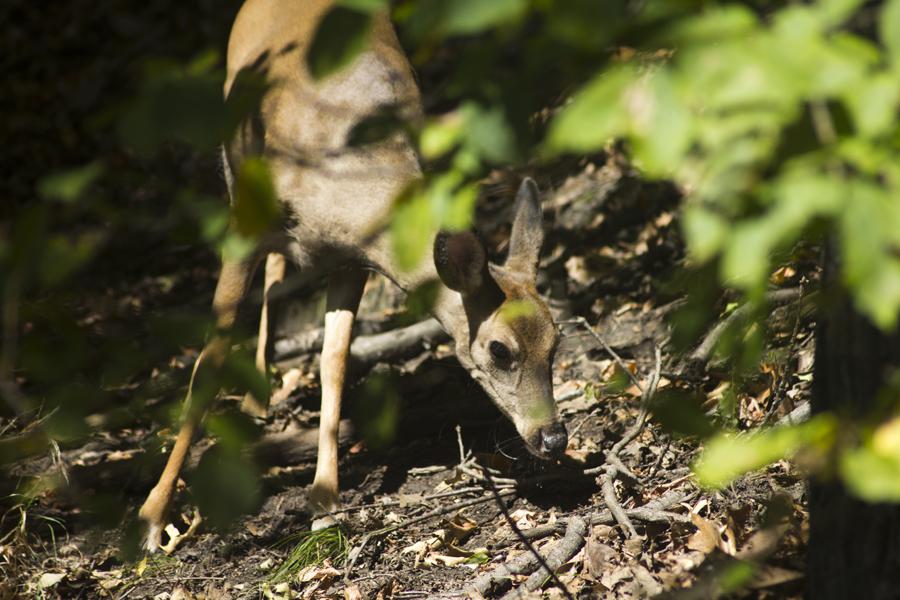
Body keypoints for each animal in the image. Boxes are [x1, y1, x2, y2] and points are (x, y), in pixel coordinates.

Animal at [137, 0, 568, 552]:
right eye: (499, 349)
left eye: (557, 341)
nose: (553, 438)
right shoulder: (244, 232)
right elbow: (207, 365)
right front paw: (152, 519)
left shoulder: (350, 260)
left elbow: (334, 362)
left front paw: (324, 501)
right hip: (236, 170)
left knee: (280, 280)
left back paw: (261, 396)